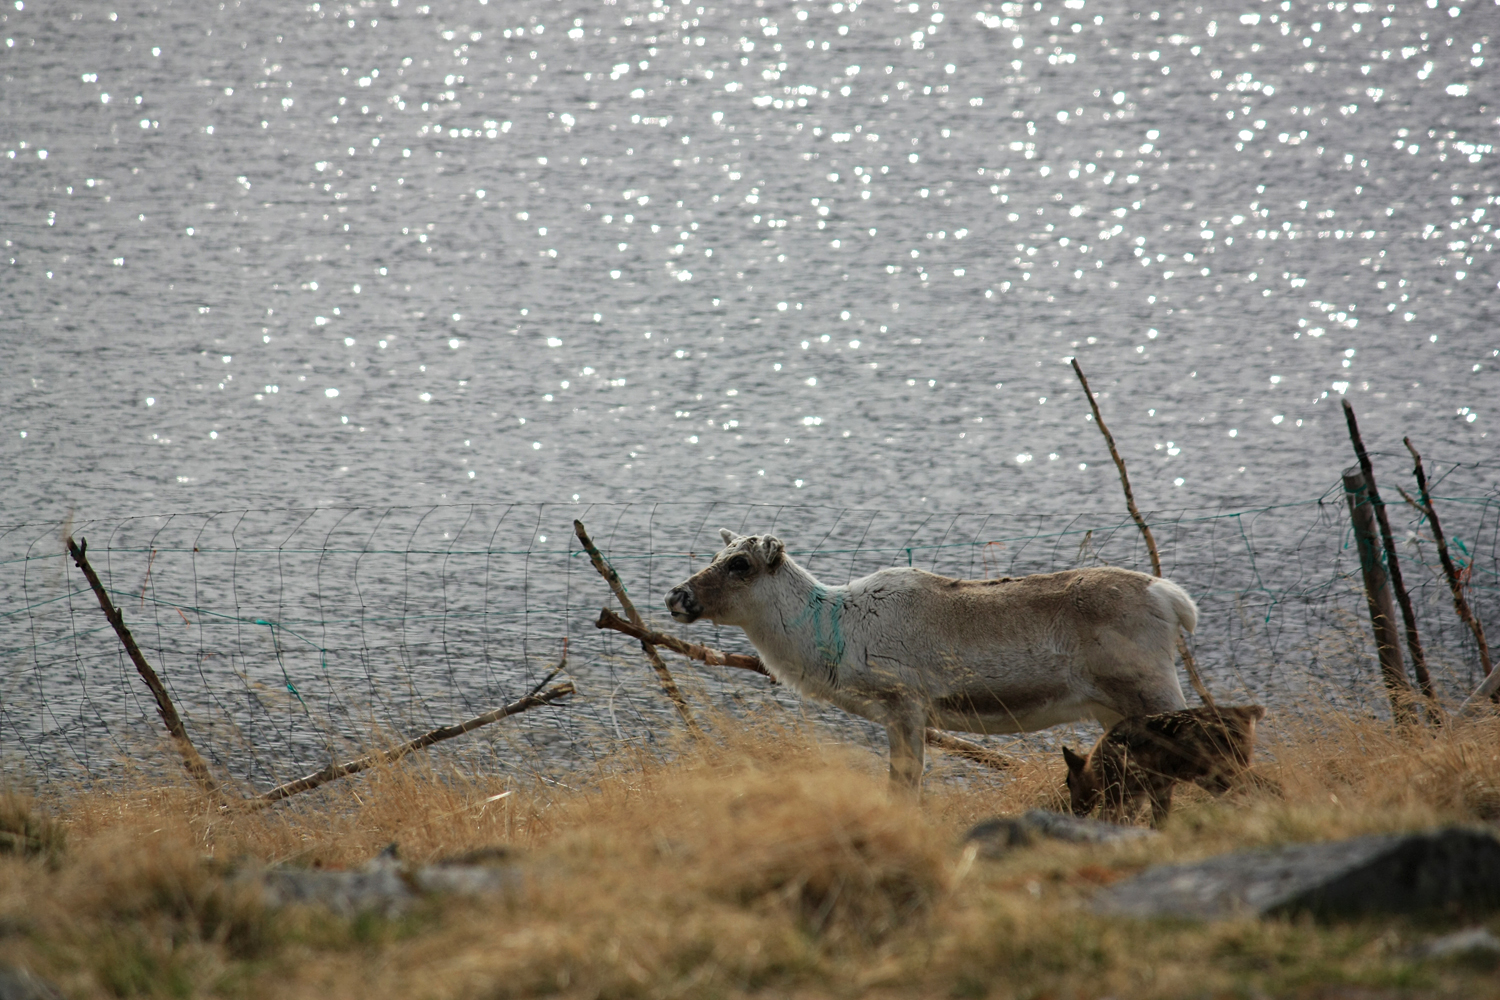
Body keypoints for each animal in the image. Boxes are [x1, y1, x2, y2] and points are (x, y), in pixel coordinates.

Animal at [1062, 704, 1272, 827]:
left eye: (1069, 782)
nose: (1076, 811)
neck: (1094, 768)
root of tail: (1247, 713)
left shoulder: (1118, 790)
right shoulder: (1154, 788)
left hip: (1216, 772)